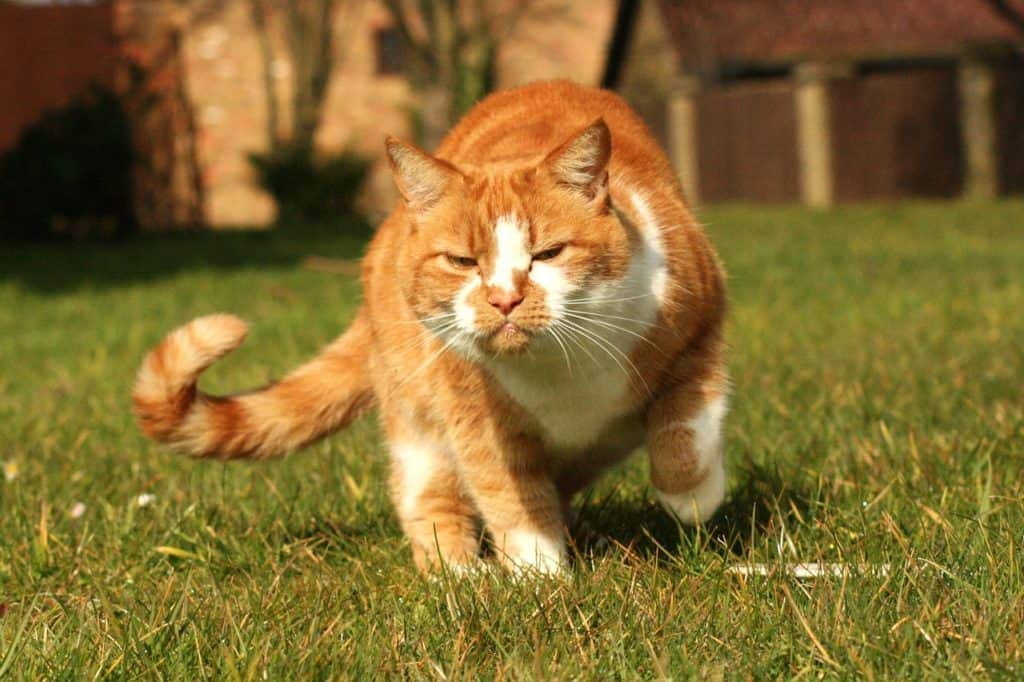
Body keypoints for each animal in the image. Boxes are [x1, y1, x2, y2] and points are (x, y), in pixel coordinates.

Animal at [136, 80, 729, 573]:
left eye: (548, 254)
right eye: (462, 262)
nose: (505, 299)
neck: (560, 368)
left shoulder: (700, 332)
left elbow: (683, 428)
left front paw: (691, 498)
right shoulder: (477, 418)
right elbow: (511, 498)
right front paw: (540, 580)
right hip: (419, 425)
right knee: (429, 500)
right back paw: (461, 579)